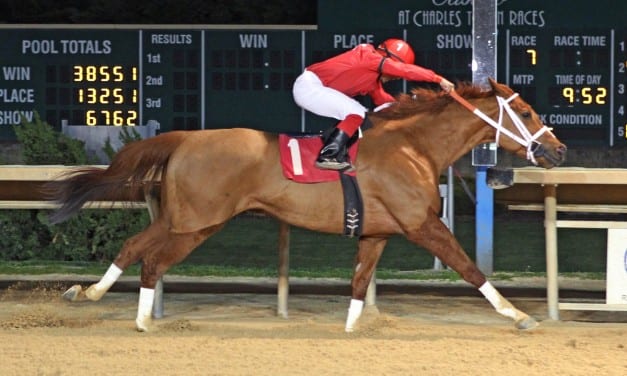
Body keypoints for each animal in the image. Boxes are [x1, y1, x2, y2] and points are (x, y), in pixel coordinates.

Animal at [49, 78, 568, 330]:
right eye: (525, 113)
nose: (559, 150)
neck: (413, 147)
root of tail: (184, 138)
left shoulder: (377, 232)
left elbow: (359, 282)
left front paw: (353, 329)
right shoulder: (422, 224)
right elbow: (470, 268)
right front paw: (519, 315)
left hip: (190, 219)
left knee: (135, 248)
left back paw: (90, 295)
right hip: (196, 222)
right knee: (149, 259)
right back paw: (134, 318)